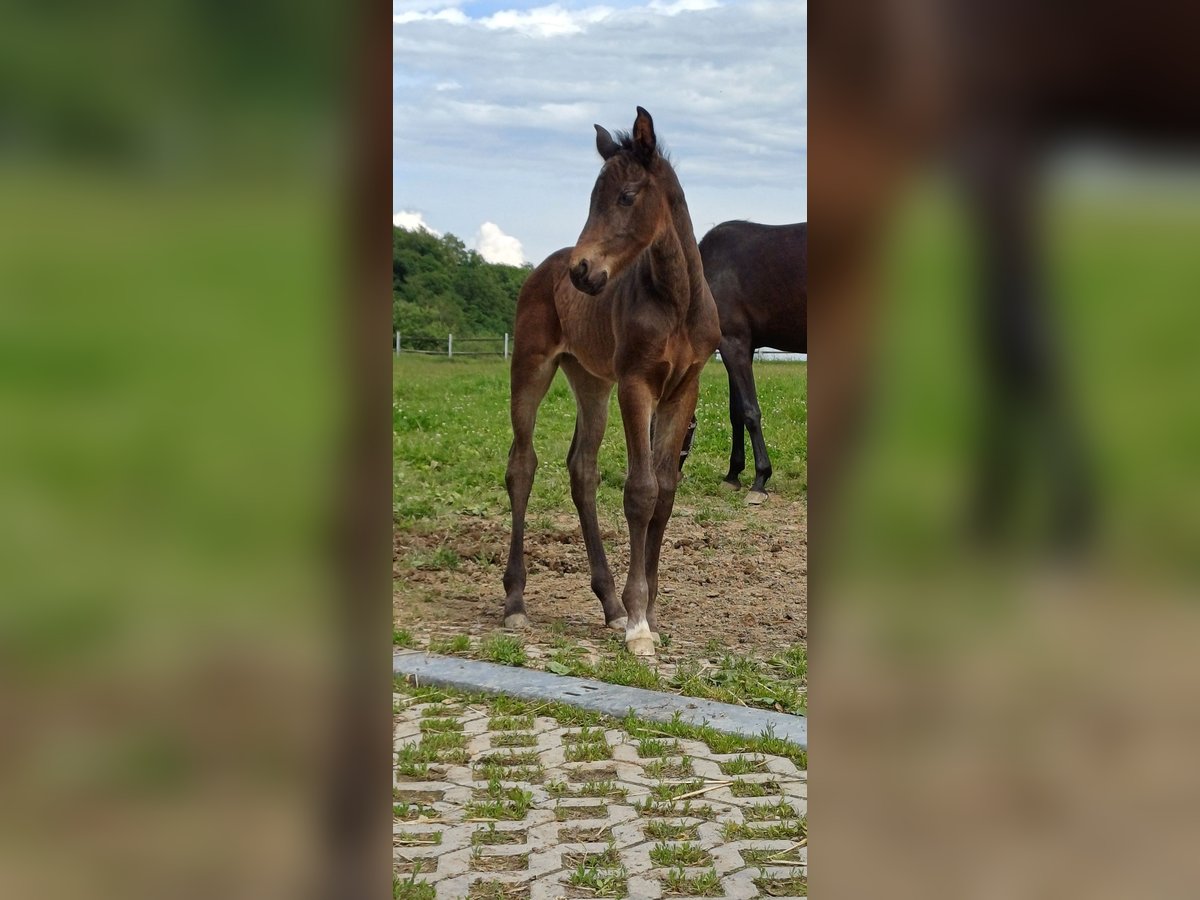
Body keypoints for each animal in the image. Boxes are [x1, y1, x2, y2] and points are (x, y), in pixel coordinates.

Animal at [499, 109, 715, 657]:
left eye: (626, 196)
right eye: (593, 197)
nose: (583, 271)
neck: (676, 302)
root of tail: (544, 268)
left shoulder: (684, 389)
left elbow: (664, 491)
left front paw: (647, 613)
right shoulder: (636, 383)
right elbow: (639, 490)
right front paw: (639, 624)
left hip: (591, 381)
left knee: (582, 470)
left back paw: (609, 604)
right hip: (532, 368)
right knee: (522, 466)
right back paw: (516, 603)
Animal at [700, 218, 811, 501]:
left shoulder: (733, 343)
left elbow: (750, 411)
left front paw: (760, 479)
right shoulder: (741, 348)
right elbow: (735, 412)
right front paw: (733, 475)